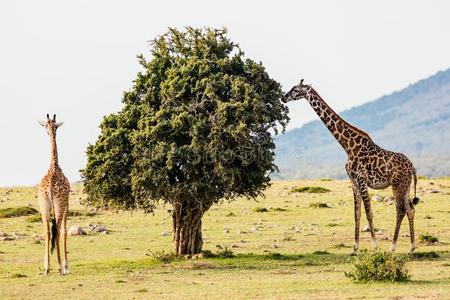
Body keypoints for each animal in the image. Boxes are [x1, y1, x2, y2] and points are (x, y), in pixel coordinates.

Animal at [284, 81, 420, 254]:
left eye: (295, 89)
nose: (283, 97)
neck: (348, 146)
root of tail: (412, 167)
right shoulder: (353, 182)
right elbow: (357, 214)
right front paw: (355, 248)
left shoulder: (361, 180)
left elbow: (369, 213)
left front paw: (375, 245)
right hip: (406, 186)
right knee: (410, 209)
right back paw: (411, 247)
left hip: (397, 185)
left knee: (400, 210)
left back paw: (393, 246)